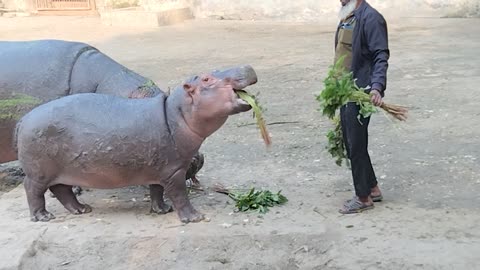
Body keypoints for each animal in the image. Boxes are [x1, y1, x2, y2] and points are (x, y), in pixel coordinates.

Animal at [15, 64, 256, 223]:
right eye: (206, 79)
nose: (246, 66)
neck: (176, 112)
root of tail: (23, 120)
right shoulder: (174, 171)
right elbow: (180, 195)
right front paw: (194, 217)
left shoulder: (161, 168)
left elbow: (157, 191)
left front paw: (163, 210)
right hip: (39, 172)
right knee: (33, 189)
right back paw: (43, 216)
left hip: (61, 170)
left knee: (61, 190)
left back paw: (82, 209)